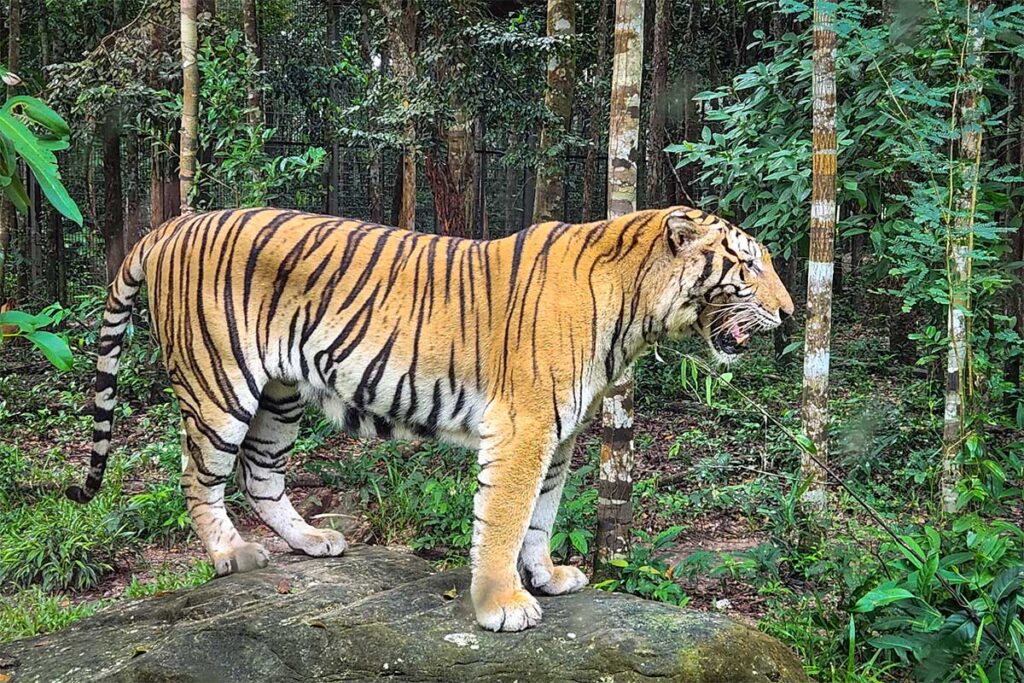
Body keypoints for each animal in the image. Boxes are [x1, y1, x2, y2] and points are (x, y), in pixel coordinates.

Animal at [66, 205, 793, 632]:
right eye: (748, 264)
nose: (790, 314)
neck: (635, 315)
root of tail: (169, 224)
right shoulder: (525, 427)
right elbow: (503, 518)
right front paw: (502, 603)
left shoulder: (560, 436)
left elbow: (542, 515)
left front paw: (546, 577)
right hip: (219, 384)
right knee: (198, 475)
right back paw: (229, 554)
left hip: (281, 392)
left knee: (261, 475)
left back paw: (313, 540)